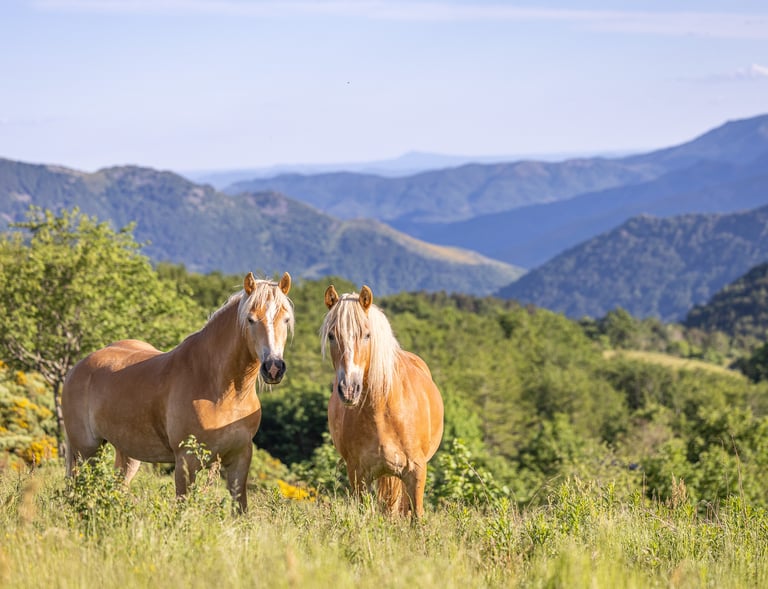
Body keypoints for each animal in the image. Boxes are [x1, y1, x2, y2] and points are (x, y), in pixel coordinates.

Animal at [62, 272, 293, 512]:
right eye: (250, 319)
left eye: (286, 320)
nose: (273, 367)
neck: (224, 392)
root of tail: (77, 368)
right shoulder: (186, 461)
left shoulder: (240, 458)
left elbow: (239, 508)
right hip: (86, 451)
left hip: (127, 453)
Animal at [320, 284, 444, 518]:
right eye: (332, 335)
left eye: (367, 335)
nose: (349, 389)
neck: (382, 412)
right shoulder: (358, 475)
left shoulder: (416, 472)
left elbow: (416, 516)